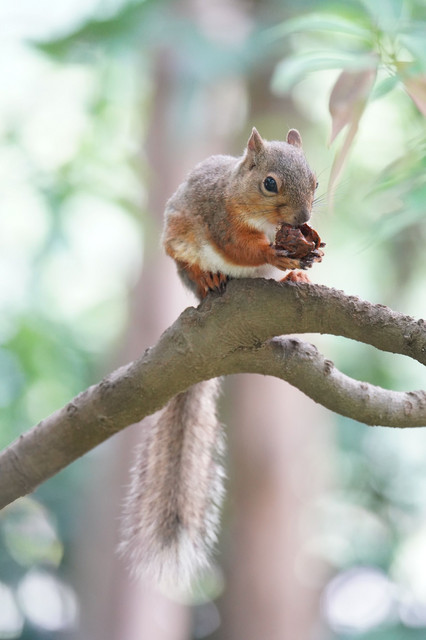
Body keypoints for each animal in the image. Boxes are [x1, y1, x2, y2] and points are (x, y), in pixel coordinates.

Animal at [119, 128, 318, 587]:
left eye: (315, 180)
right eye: (269, 183)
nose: (301, 219)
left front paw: (300, 265)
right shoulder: (220, 219)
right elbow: (240, 247)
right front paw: (275, 253)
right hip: (179, 236)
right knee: (192, 262)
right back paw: (207, 278)